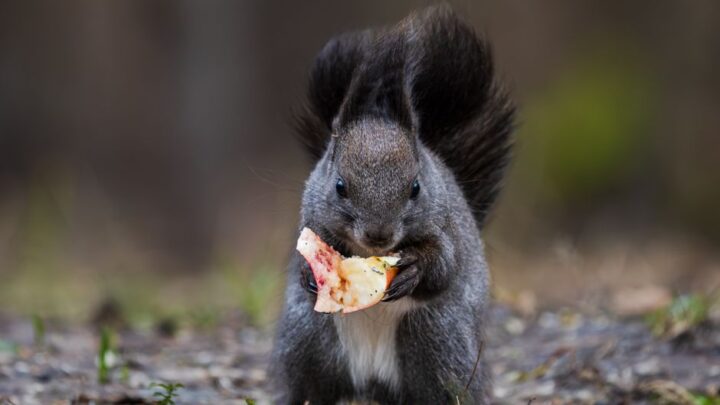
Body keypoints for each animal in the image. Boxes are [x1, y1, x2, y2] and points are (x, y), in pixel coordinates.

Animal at [271, 5, 514, 404]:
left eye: (415, 187)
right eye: (339, 186)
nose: (379, 236)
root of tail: (372, 382)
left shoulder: (446, 229)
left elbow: (444, 265)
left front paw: (414, 268)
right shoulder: (311, 221)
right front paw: (307, 272)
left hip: (436, 340)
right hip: (308, 340)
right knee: (310, 387)